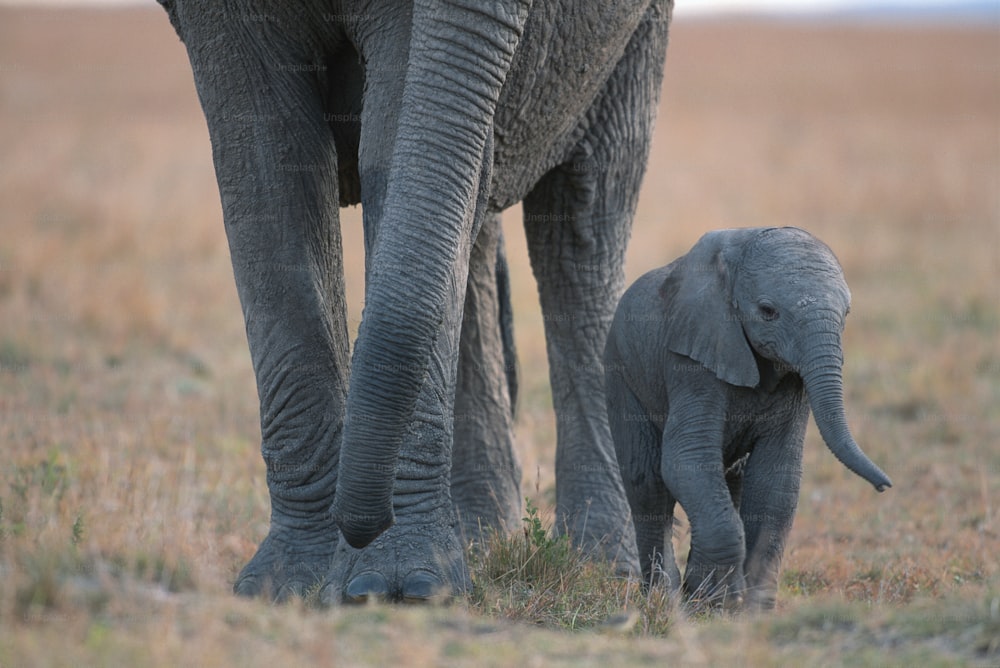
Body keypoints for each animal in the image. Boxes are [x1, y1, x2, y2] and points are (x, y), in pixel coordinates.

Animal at [158, 0, 672, 604]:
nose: (358, 523)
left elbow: (396, 133)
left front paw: (396, 586)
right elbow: (264, 162)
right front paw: (284, 586)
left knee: (582, 217)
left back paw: (604, 565)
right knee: (484, 225)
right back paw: (483, 540)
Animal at [600, 226, 892, 612]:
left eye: (847, 313)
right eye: (768, 311)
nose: (884, 486)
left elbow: (775, 477)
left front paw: (749, 609)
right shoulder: (691, 359)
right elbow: (685, 459)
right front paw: (720, 602)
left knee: (730, 480)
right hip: (621, 371)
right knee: (646, 483)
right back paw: (666, 599)